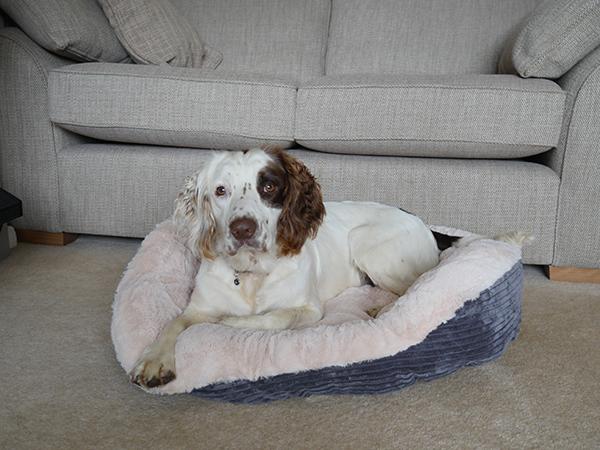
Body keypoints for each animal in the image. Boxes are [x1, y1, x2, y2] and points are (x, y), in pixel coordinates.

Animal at [132, 147, 520, 386]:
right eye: (220, 190)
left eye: (268, 186)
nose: (243, 229)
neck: (252, 273)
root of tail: (421, 220)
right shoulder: (196, 307)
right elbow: (173, 323)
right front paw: (154, 359)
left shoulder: (308, 309)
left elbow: (274, 317)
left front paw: (231, 323)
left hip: (369, 245)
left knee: (419, 284)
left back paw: (382, 308)